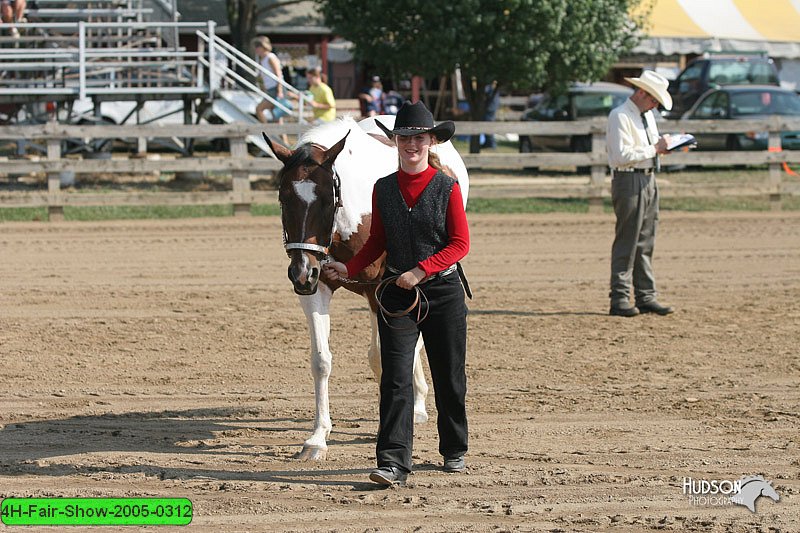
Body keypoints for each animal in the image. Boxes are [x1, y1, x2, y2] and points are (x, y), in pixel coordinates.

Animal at [262, 116, 468, 458]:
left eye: (328, 200)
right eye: (283, 198)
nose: (301, 272)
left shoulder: (381, 290)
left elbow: (387, 356)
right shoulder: (318, 287)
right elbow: (321, 360)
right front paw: (317, 438)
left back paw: (418, 404)